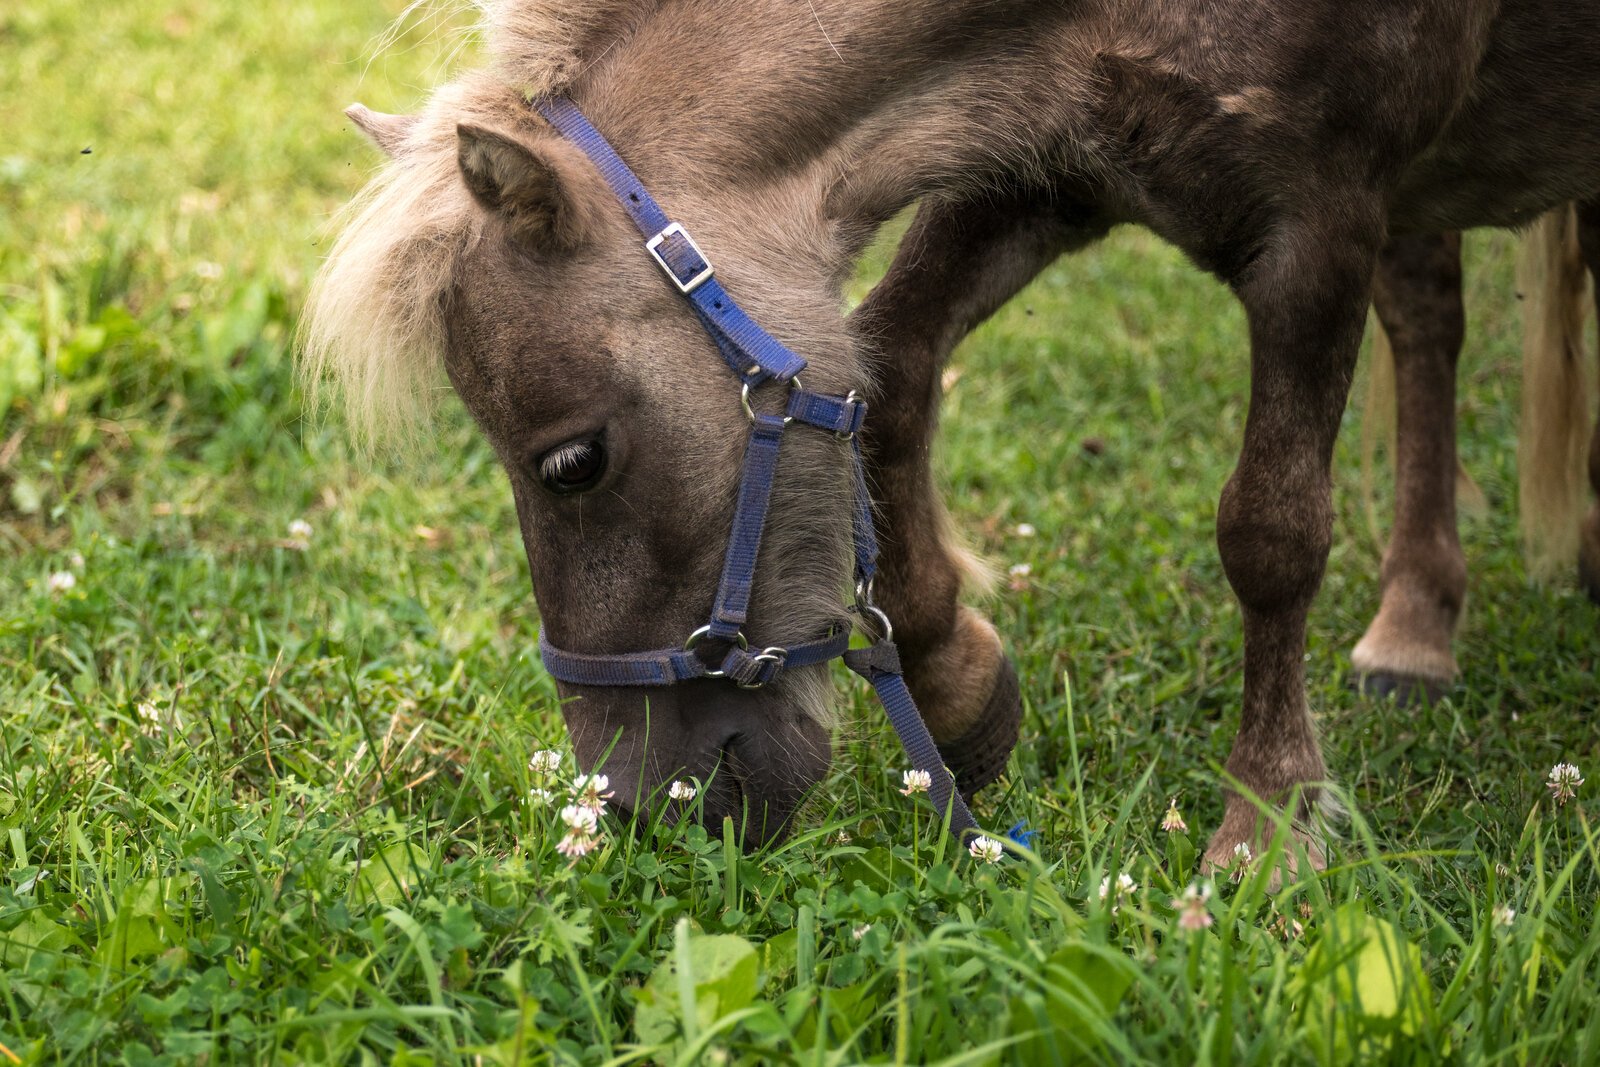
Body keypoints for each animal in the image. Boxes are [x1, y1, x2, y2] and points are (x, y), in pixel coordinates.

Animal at [302, 0, 1600, 867]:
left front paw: (1265, 830)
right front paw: (960, 687)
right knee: (1429, 314)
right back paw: (1419, 621)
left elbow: (1272, 531)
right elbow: (890, 368)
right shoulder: (1043, 172)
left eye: (573, 461)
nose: (629, 805)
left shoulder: (1316, 223)